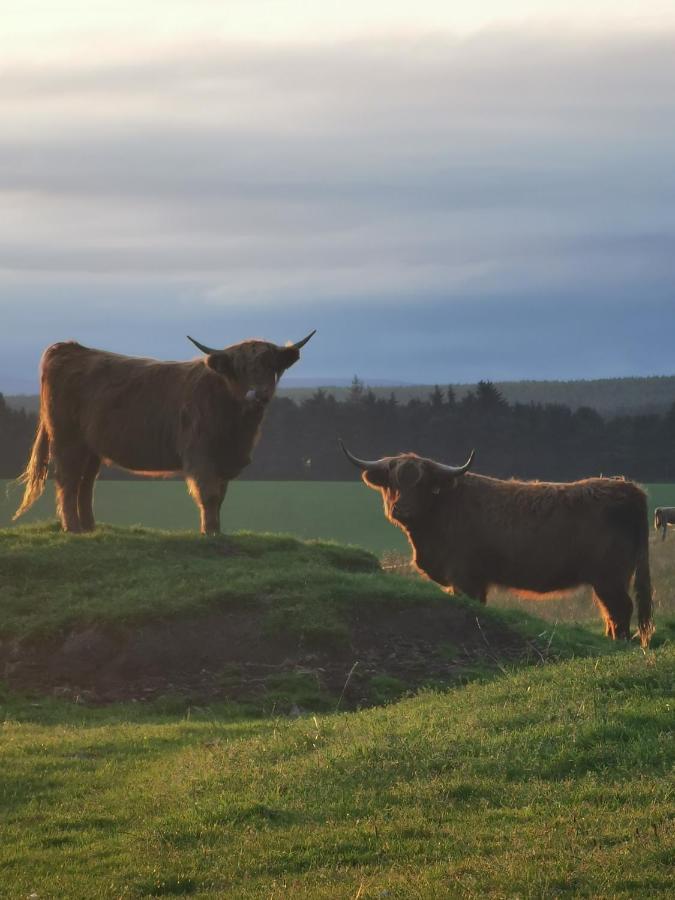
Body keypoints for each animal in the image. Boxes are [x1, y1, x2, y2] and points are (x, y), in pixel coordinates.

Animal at [13, 332, 314, 536]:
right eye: (239, 368)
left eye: (270, 365)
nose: (258, 394)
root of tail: (69, 348)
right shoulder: (200, 455)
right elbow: (209, 495)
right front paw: (209, 533)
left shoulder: (223, 459)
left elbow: (220, 496)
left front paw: (217, 530)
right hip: (68, 439)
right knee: (67, 480)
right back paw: (73, 528)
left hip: (91, 447)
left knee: (85, 484)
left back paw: (89, 527)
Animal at [340, 442, 656, 648]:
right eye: (393, 482)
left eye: (421, 483)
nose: (401, 509)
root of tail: (628, 488)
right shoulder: (474, 580)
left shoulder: (464, 577)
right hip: (605, 580)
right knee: (610, 612)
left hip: (609, 577)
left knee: (621, 608)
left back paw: (621, 644)